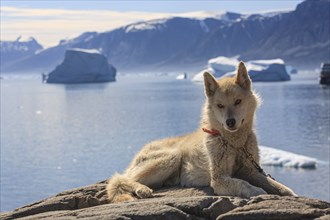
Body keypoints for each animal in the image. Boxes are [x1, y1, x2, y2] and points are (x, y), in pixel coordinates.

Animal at [106, 62, 296, 203]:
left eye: (238, 101)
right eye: (220, 105)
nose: (230, 122)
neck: (234, 143)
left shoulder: (252, 171)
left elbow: (276, 184)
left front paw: (287, 193)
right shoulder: (219, 179)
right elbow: (246, 185)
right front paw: (260, 192)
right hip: (171, 157)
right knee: (123, 179)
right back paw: (142, 189)